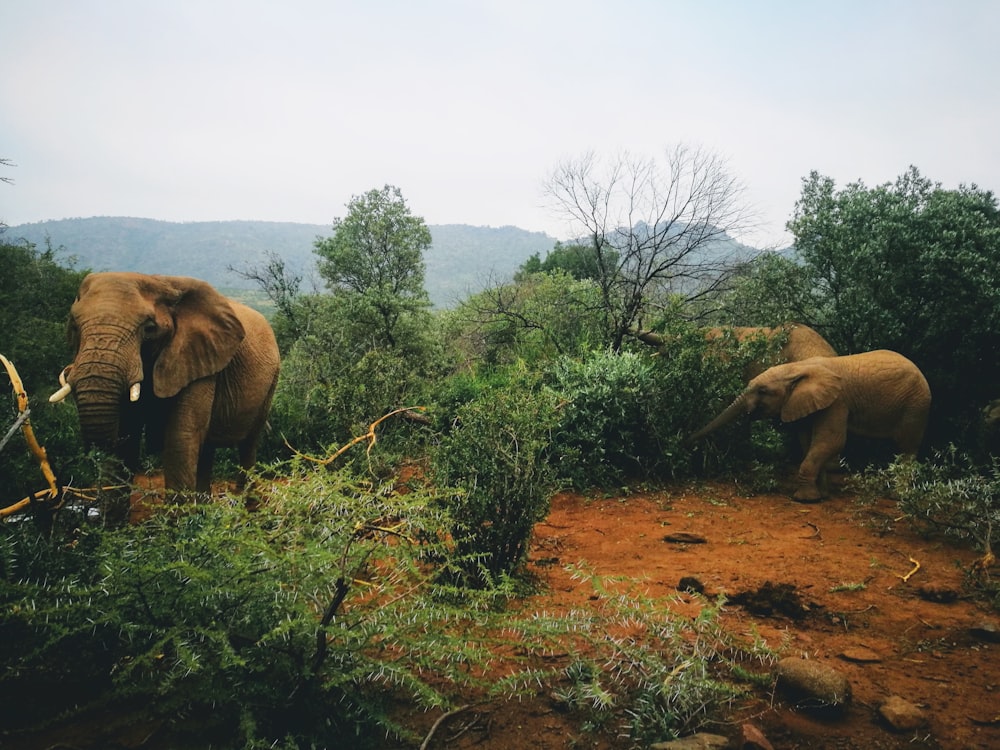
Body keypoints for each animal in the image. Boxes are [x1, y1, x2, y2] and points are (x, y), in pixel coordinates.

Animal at [51, 272, 282, 500]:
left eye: (149, 329)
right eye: (74, 326)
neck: (161, 281)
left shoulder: (197, 360)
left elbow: (180, 439)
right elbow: (127, 438)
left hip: (270, 383)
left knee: (248, 443)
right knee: (207, 450)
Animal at [688, 350, 928, 502]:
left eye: (763, 391)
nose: (686, 440)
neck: (796, 369)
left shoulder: (837, 401)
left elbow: (831, 441)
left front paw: (804, 500)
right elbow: (807, 441)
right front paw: (822, 495)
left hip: (915, 405)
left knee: (907, 447)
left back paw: (897, 496)